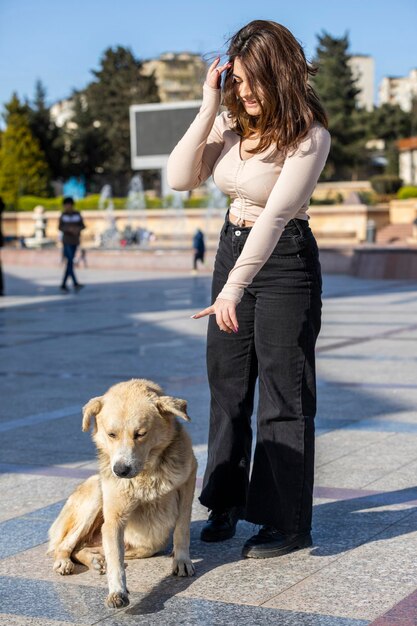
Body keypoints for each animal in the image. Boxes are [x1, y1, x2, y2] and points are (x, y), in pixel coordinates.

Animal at [48, 378, 197, 608]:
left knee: (88, 547)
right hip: (96, 493)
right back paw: (66, 561)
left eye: (140, 434)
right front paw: (117, 591)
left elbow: (182, 528)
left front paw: (181, 560)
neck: (146, 474)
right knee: (66, 545)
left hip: (148, 544)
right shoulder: (114, 519)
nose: (120, 470)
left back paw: (95, 559)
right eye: (111, 434)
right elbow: (115, 560)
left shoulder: (189, 479)